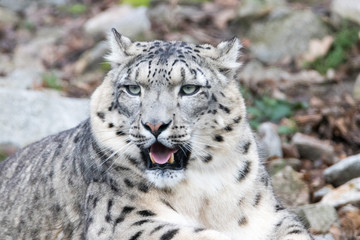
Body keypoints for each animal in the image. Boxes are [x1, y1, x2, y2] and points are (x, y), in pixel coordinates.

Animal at [0, 29, 312, 239]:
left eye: (189, 89)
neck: (202, 196)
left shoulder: (266, 215)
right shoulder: (124, 220)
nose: (154, 125)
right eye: (133, 89)